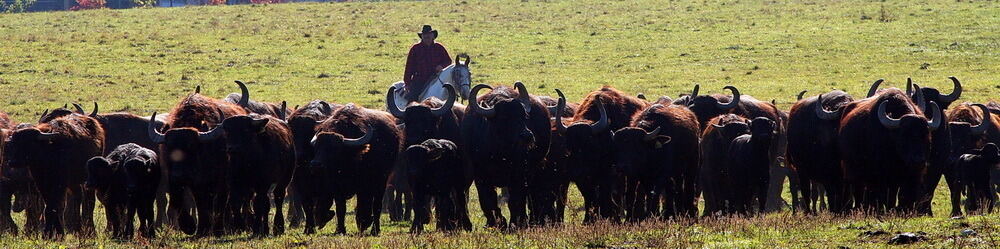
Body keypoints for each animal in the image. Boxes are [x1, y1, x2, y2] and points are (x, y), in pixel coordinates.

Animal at [310, 103, 400, 235]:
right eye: (317, 147)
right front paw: (340, 230)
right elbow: (340, 208)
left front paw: (364, 223)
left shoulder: (364, 185)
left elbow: (364, 204)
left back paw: (375, 229)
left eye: (334, 149)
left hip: (381, 182)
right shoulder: (336, 187)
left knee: (376, 205)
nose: (315, 164)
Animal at [458, 82, 552, 230]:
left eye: (524, 116)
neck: (500, 153)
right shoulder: (480, 176)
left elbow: (516, 200)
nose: (527, 136)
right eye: (504, 118)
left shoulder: (518, 174)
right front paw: (496, 223)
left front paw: (516, 222)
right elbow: (487, 200)